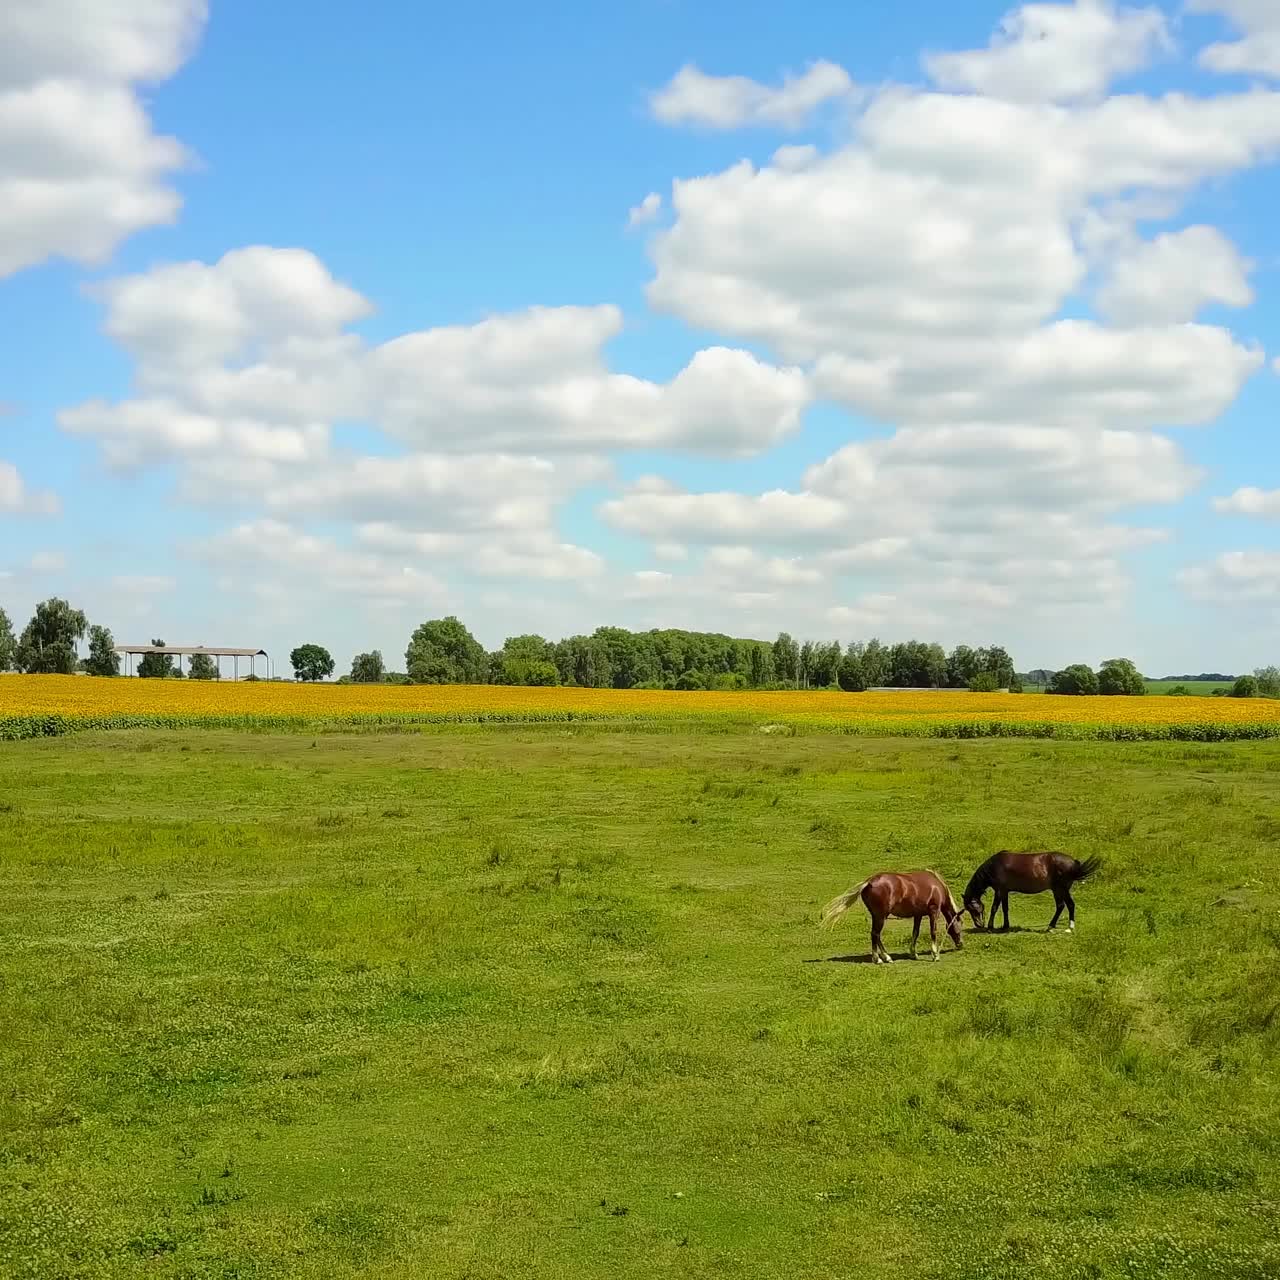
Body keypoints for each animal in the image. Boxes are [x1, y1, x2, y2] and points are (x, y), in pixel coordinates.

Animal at [819, 870, 965, 964]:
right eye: (960, 925)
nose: (960, 945)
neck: (936, 887)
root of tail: (869, 882)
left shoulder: (918, 915)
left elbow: (915, 933)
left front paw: (913, 953)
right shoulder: (934, 912)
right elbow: (933, 932)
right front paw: (935, 955)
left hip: (877, 916)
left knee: (876, 935)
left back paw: (884, 957)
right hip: (880, 916)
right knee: (875, 934)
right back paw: (880, 958)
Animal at [962, 851, 1102, 933]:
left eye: (972, 909)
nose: (979, 925)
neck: (995, 866)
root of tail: (1074, 863)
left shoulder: (999, 890)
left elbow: (994, 908)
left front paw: (990, 927)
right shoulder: (1005, 891)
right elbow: (1005, 908)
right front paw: (1005, 926)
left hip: (1061, 889)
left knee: (1068, 905)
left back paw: (1068, 927)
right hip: (1058, 890)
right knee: (1062, 906)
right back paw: (1052, 926)